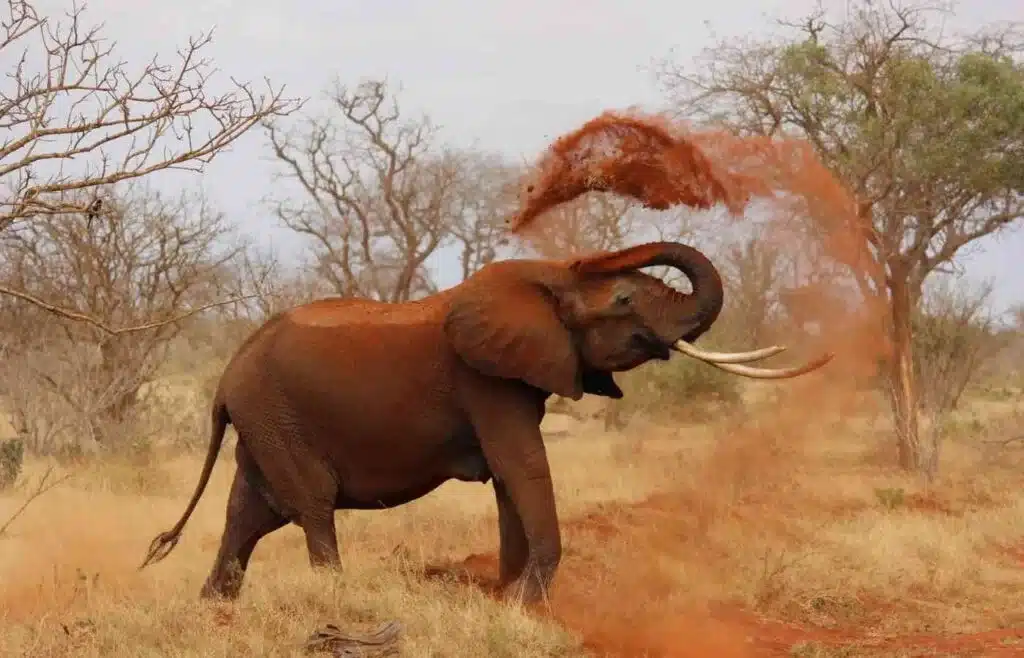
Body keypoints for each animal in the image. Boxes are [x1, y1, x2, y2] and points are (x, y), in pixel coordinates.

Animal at [139, 241, 831, 604]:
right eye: (624, 299)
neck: (546, 279)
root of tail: (226, 378)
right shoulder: (486, 381)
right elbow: (521, 466)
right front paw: (525, 604)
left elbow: (509, 479)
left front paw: (506, 597)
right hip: (277, 416)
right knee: (310, 505)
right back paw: (334, 598)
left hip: (264, 421)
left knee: (250, 512)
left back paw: (215, 611)